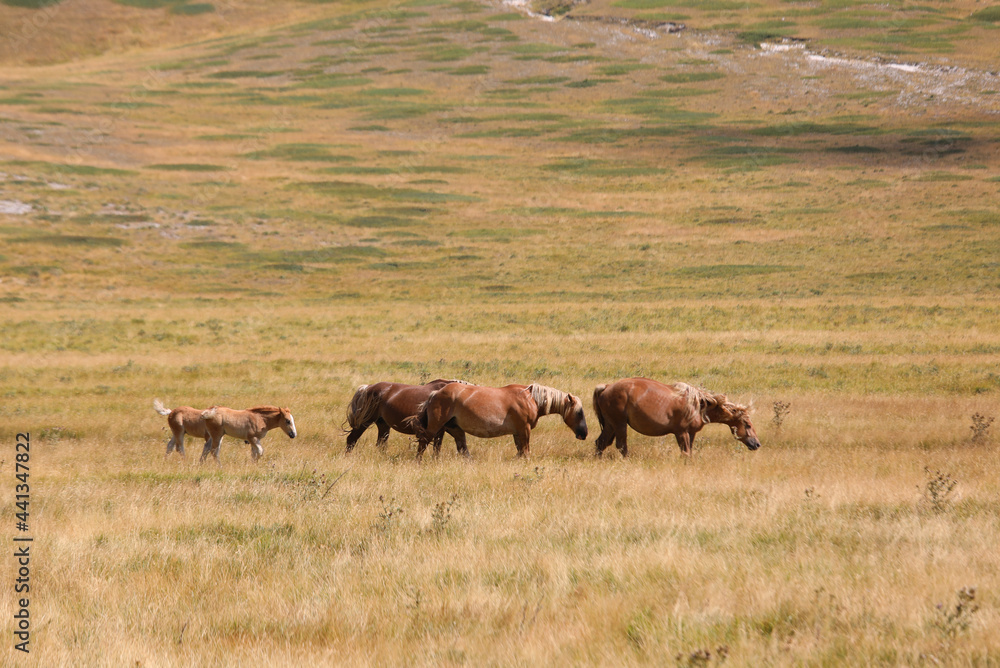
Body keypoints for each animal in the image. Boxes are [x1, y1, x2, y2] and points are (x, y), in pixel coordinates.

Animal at [344, 380, 472, 454]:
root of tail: (368, 388)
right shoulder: (440, 430)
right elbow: (437, 448)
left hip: (383, 425)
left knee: (381, 444)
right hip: (365, 422)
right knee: (351, 439)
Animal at [410, 380, 588, 460]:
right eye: (579, 413)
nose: (584, 433)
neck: (531, 398)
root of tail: (435, 393)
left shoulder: (517, 433)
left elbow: (520, 452)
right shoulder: (524, 430)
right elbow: (525, 451)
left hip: (455, 429)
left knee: (462, 449)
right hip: (435, 428)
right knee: (423, 444)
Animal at [592, 378, 756, 456]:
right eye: (747, 425)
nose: (756, 444)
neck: (699, 406)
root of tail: (606, 387)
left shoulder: (690, 433)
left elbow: (689, 452)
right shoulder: (681, 433)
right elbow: (685, 453)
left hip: (611, 425)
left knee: (600, 443)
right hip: (619, 424)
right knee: (621, 446)